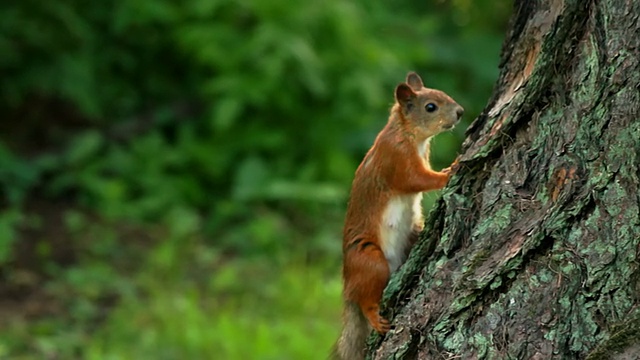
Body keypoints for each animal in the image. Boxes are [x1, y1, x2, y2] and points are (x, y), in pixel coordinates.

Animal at [332, 71, 462, 358]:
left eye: (443, 93)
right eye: (430, 107)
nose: (460, 112)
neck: (407, 133)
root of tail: (347, 287)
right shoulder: (395, 158)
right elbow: (416, 179)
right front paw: (451, 170)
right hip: (370, 260)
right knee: (366, 299)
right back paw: (373, 316)